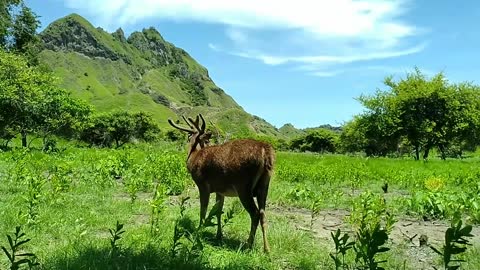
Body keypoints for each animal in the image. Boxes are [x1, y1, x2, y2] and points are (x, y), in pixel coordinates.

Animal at [168, 113, 274, 252]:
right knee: (263, 213)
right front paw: (219, 235)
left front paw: (199, 231)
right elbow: (218, 211)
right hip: (264, 185)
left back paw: (248, 245)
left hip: (243, 186)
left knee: (255, 213)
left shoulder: (202, 185)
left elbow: (203, 210)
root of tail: (265, 151)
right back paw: (267, 249)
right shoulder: (220, 190)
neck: (193, 156)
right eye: (207, 140)